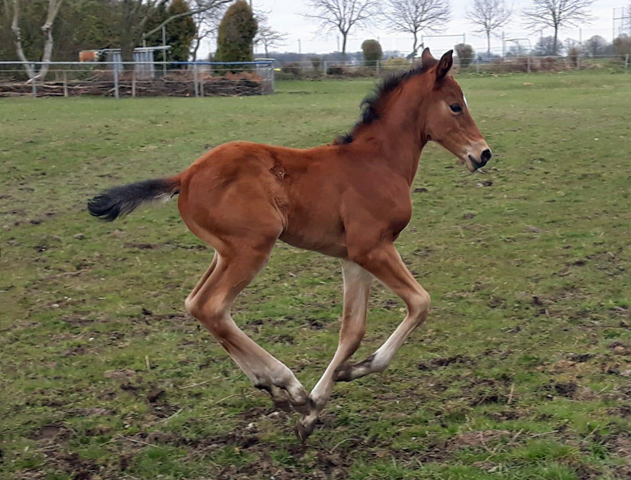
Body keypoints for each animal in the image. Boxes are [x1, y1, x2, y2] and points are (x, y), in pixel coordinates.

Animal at [89, 47, 494, 438]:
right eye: (455, 106)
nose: (483, 153)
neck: (378, 162)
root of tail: (185, 176)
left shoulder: (353, 258)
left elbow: (352, 330)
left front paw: (317, 407)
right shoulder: (373, 248)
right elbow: (419, 302)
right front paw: (338, 381)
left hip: (224, 252)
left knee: (196, 304)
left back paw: (273, 387)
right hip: (252, 247)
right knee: (213, 307)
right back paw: (288, 384)